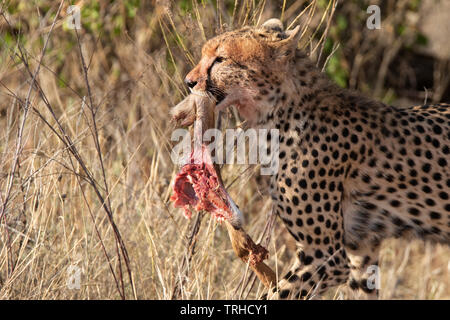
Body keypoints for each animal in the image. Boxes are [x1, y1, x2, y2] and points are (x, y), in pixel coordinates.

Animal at [181, 19, 448, 300]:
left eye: (221, 59)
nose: (189, 81)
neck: (278, 112)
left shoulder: (324, 254)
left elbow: (277, 294)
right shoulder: (360, 249)